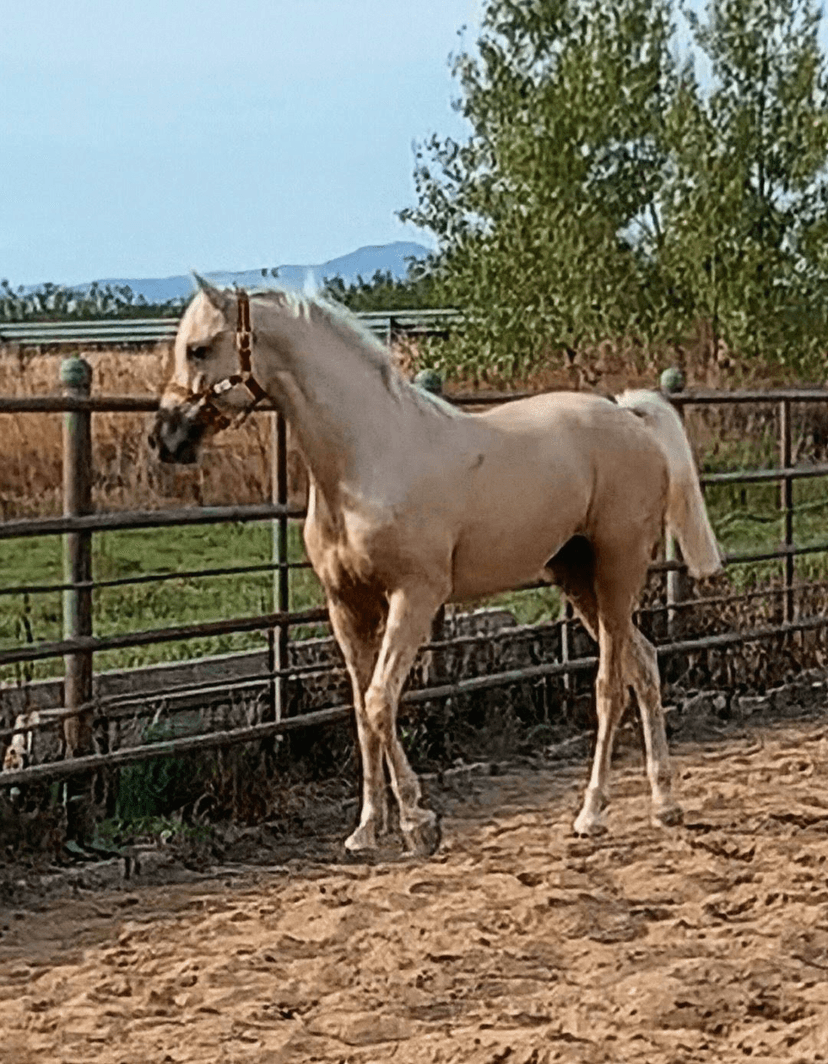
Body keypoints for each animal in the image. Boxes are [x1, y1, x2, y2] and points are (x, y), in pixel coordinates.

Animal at [149, 278, 721, 856]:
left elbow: (380, 701)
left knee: (610, 685)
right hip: (578, 577)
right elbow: (361, 712)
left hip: (616, 570)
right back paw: (664, 804)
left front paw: (418, 823)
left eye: (199, 348)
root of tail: (630, 418)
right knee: (644, 664)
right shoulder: (347, 606)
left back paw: (591, 814)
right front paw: (365, 829)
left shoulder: (415, 597)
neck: (368, 458)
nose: (164, 439)